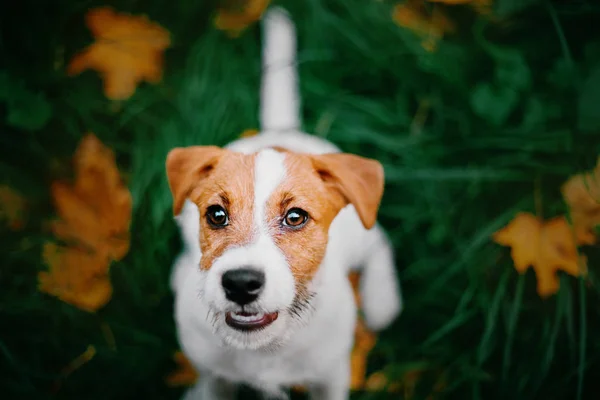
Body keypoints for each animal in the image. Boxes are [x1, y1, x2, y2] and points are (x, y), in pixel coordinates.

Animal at [164, 6, 404, 400]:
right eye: (216, 214)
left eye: (295, 217)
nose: (240, 283)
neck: (266, 348)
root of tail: (280, 133)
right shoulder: (214, 375)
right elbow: (211, 384)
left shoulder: (330, 375)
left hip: (359, 230)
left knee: (379, 238)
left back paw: (383, 299)